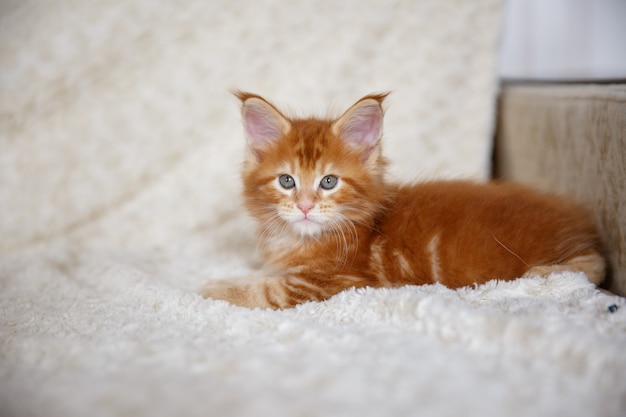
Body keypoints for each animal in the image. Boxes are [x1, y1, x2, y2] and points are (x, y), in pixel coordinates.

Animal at [197, 92, 604, 308]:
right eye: (286, 181)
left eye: (329, 182)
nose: (305, 206)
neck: (300, 239)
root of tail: (579, 221)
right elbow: (263, 274)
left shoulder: (333, 282)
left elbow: (266, 290)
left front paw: (211, 287)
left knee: (594, 266)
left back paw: (541, 275)